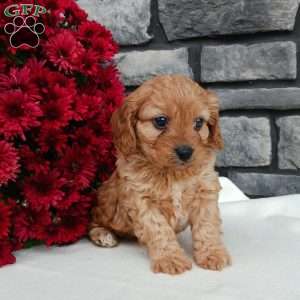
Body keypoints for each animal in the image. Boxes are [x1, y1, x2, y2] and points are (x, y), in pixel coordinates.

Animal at [88, 74, 231, 274]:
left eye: (199, 123)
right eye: (161, 121)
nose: (186, 152)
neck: (173, 173)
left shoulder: (205, 191)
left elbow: (207, 226)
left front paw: (212, 254)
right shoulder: (142, 201)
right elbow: (159, 230)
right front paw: (170, 259)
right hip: (105, 203)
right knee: (93, 221)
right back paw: (104, 235)